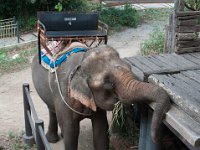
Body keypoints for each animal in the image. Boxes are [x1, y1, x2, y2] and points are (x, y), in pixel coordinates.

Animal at [31, 44, 170, 150]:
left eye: (130, 67)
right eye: (107, 81)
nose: (155, 138)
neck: (80, 65)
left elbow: (101, 129)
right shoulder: (64, 96)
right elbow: (71, 131)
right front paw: (68, 136)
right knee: (52, 109)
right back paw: (53, 139)